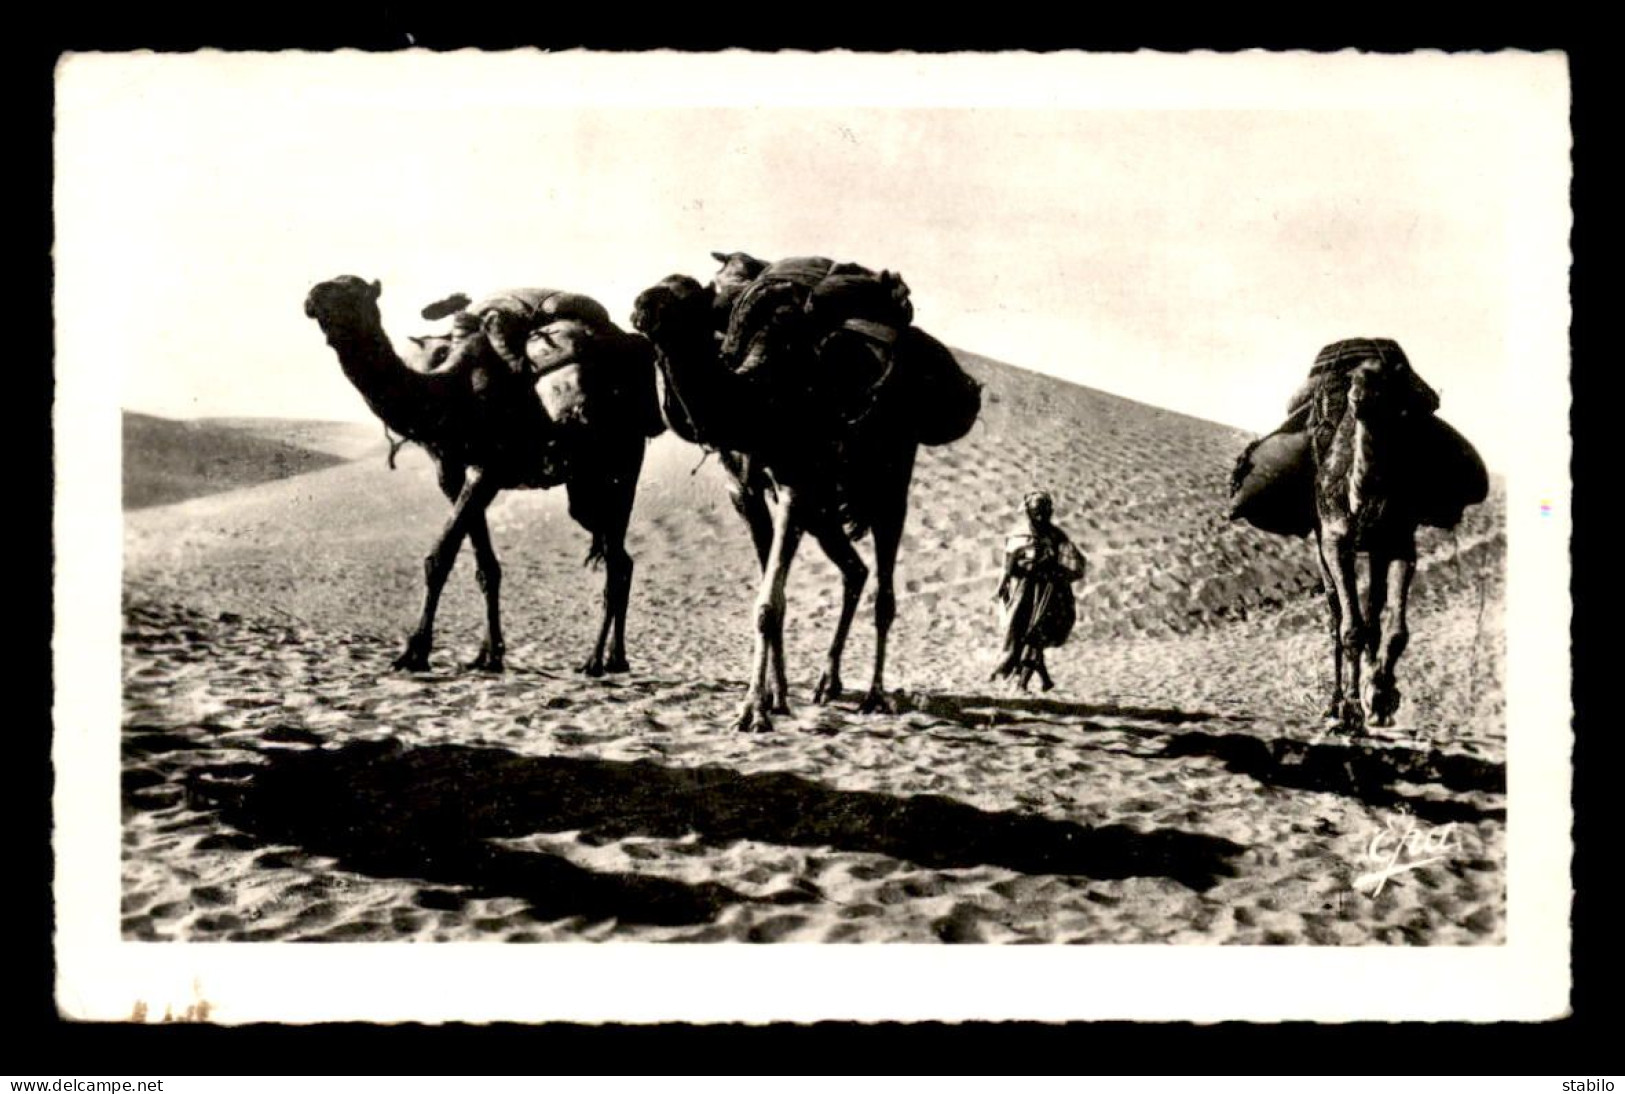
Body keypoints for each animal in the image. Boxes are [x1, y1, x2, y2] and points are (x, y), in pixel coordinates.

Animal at [305, 274, 659, 672]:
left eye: (350, 291)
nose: (311, 298)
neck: (450, 392)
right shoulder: (451, 472)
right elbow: (485, 566)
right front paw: (488, 655)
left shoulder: (488, 468)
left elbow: (439, 557)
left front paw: (415, 652)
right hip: (583, 489)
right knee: (621, 558)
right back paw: (616, 658)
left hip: (620, 465)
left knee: (616, 564)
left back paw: (595, 661)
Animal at [627, 256, 975, 728]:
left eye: (686, 296)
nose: (641, 306)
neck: (760, 398)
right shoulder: (745, 492)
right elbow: (772, 598)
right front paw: (775, 696)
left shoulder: (796, 483)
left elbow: (769, 603)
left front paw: (753, 710)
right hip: (825, 509)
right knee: (855, 571)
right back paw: (828, 682)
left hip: (889, 484)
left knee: (884, 592)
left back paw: (874, 696)